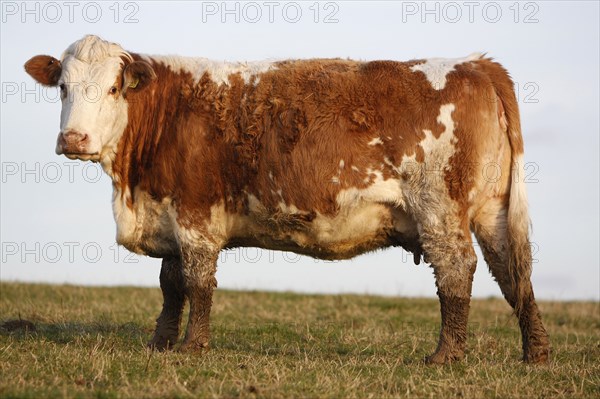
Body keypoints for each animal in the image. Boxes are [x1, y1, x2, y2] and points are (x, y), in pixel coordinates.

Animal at [23, 36, 548, 364]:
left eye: (114, 87)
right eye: (63, 88)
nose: (73, 138)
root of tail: (474, 63)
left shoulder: (196, 215)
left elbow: (197, 283)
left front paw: (192, 347)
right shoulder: (170, 215)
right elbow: (170, 284)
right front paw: (160, 343)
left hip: (439, 208)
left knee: (457, 270)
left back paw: (446, 355)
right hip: (492, 210)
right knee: (512, 270)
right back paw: (535, 353)